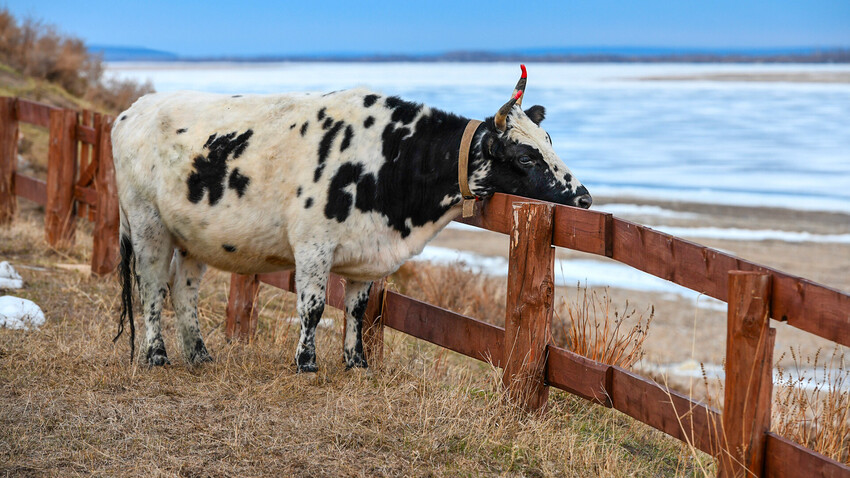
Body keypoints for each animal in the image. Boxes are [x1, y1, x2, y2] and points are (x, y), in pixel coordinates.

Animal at [111, 63, 588, 372]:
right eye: (526, 157)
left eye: (549, 139)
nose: (583, 197)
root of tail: (132, 110)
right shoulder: (313, 245)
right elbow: (313, 307)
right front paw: (306, 363)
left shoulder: (368, 254)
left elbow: (357, 310)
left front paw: (356, 362)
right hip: (149, 226)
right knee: (151, 286)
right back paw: (156, 356)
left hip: (192, 237)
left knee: (183, 291)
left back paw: (199, 355)